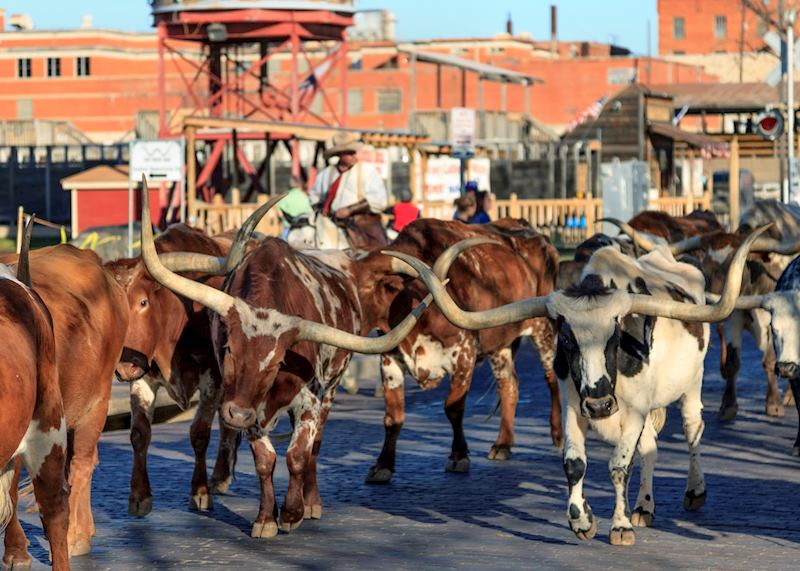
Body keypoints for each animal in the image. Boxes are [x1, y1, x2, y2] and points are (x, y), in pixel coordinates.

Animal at [136, 179, 434, 537]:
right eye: (229, 350)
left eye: (278, 362)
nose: (235, 415)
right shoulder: (248, 405)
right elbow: (265, 461)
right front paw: (266, 518)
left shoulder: (308, 399)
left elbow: (298, 455)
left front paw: (292, 512)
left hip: (330, 389)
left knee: (315, 445)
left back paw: (311, 500)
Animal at [350, 218, 562, 483]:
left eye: (367, 286)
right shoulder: (390, 361)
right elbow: (393, 417)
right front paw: (383, 465)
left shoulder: (464, 355)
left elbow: (453, 408)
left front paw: (459, 456)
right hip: (500, 344)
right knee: (509, 385)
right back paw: (503, 444)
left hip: (544, 330)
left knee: (552, 379)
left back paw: (557, 433)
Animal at [386, 224, 766, 545]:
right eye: (567, 340)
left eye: (616, 336)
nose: (599, 404)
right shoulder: (573, 405)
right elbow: (574, 463)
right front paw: (582, 520)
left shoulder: (633, 411)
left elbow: (618, 466)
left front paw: (620, 526)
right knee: (651, 449)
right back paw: (644, 507)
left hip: (691, 386)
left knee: (692, 431)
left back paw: (694, 490)